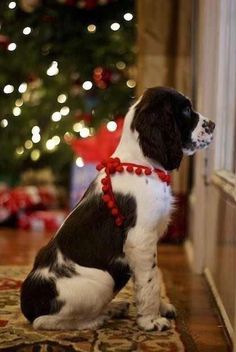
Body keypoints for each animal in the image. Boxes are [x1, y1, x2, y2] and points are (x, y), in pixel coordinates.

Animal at [20, 86, 216, 332]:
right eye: (187, 110)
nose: (213, 125)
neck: (142, 164)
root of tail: (27, 303)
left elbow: (150, 276)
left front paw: (160, 308)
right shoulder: (140, 239)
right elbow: (150, 281)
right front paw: (151, 321)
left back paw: (113, 308)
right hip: (103, 279)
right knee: (44, 322)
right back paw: (99, 317)